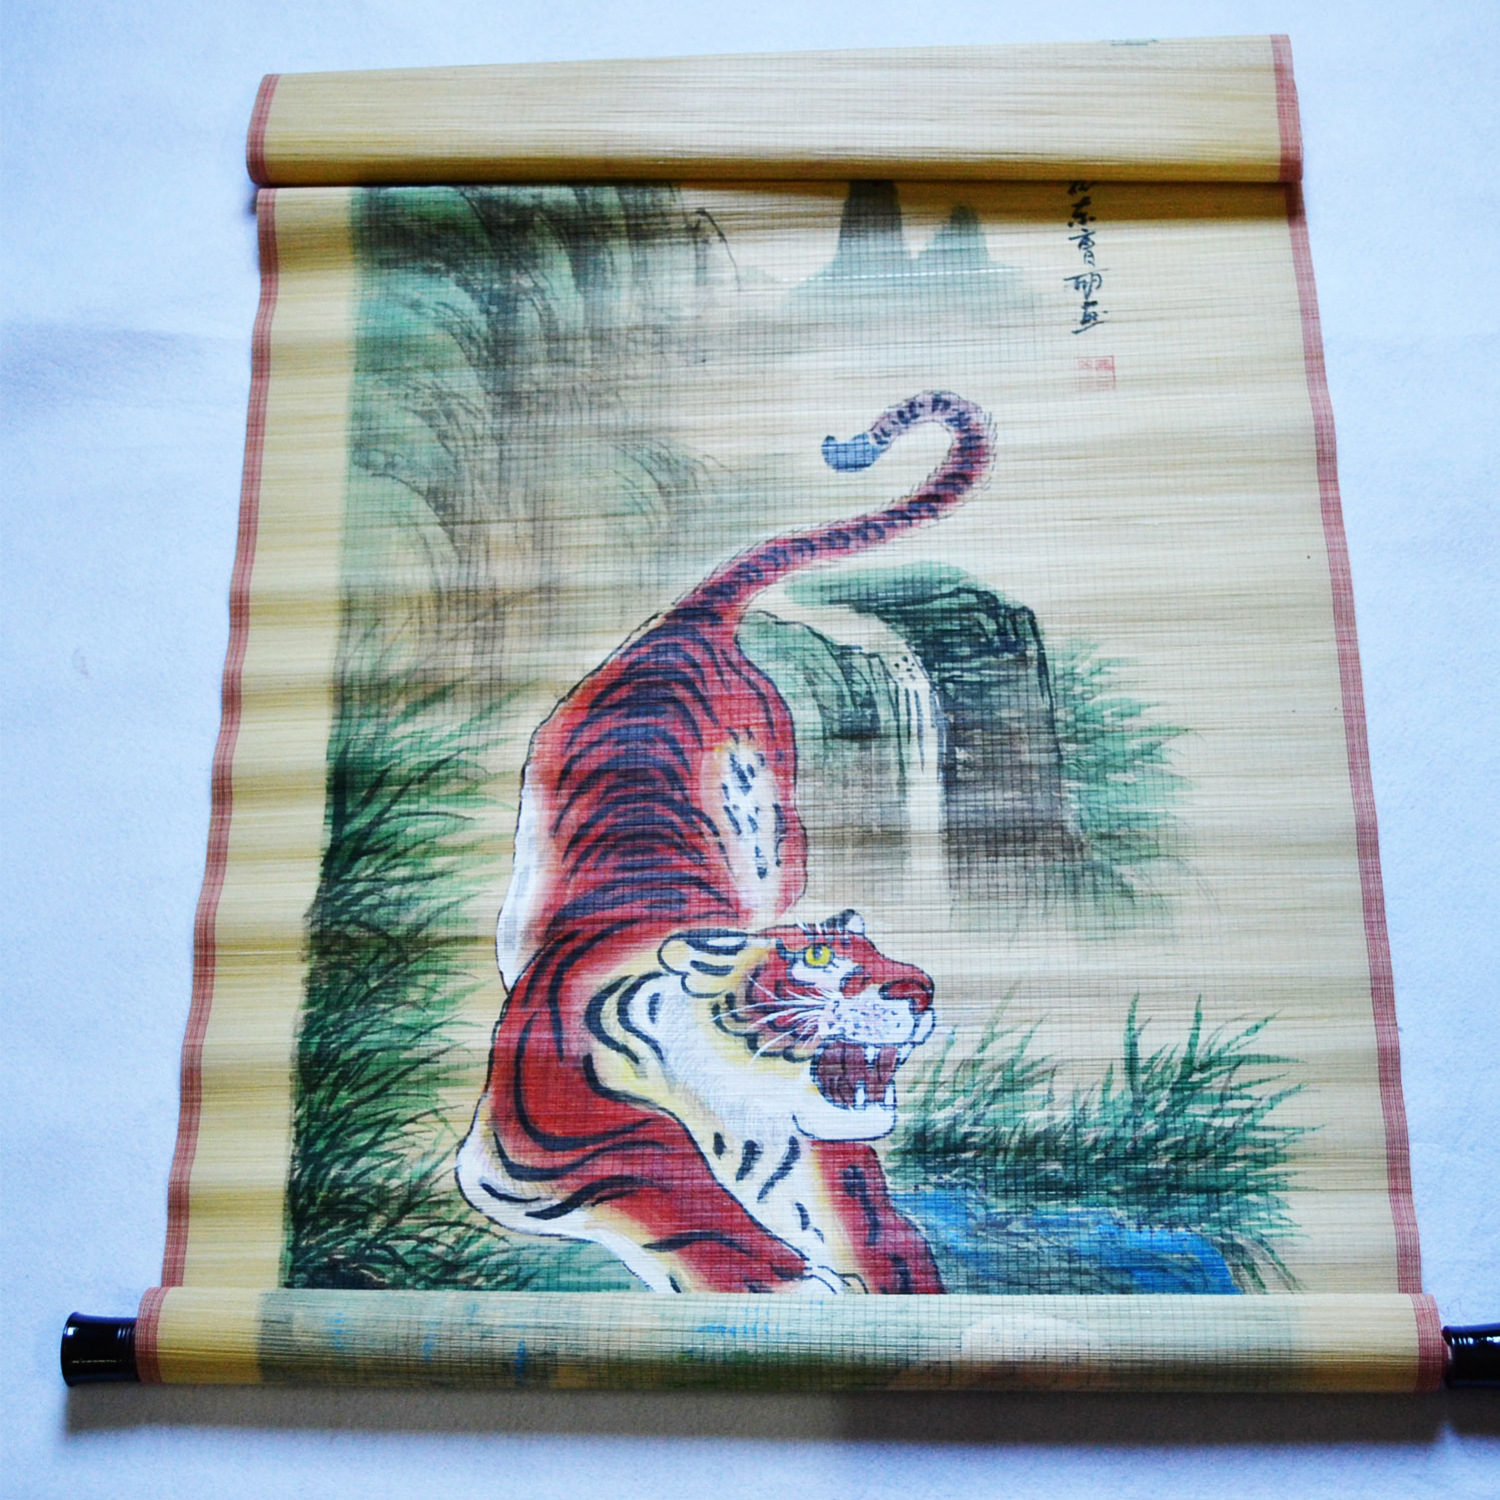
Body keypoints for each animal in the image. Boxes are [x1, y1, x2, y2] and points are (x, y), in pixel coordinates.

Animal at [457, 391, 992, 1294]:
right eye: (820, 960)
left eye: (883, 951)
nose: (919, 990)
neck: (743, 1108)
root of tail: (686, 620)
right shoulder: (549, 1144)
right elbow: (670, 1182)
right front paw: (790, 1283)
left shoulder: (830, 1163)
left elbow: (881, 1234)